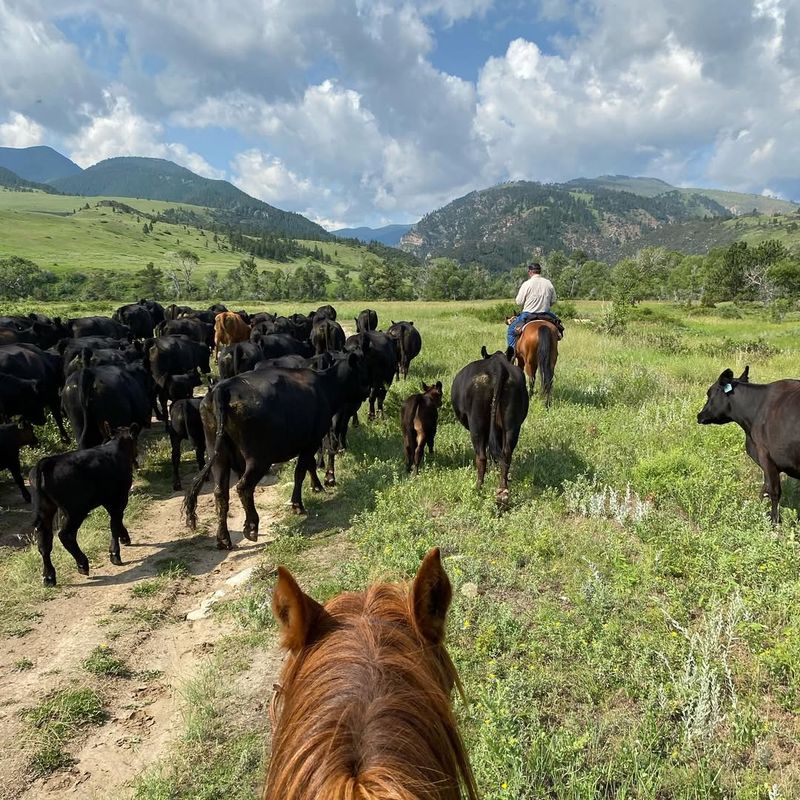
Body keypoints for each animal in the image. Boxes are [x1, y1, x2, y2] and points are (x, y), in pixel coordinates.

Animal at [31, 424, 140, 588]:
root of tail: (47, 462)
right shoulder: (119, 497)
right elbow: (114, 523)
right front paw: (115, 554)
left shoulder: (108, 499)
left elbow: (116, 520)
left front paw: (125, 538)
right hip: (75, 511)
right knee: (65, 535)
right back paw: (82, 564)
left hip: (45, 510)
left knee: (44, 541)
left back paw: (49, 577)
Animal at [186, 352, 370, 552]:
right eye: (362, 370)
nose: (369, 389)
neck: (325, 385)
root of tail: (223, 388)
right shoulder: (311, 442)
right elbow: (301, 472)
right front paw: (298, 504)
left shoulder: (308, 442)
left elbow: (309, 466)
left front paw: (317, 486)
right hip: (259, 459)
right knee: (243, 487)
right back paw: (251, 527)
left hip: (218, 455)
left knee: (220, 493)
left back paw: (223, 539)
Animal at [454, 346, 528, 504]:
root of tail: (497, 366)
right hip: (512, 425)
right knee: (506, 454)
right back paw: (503, 492)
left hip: (477, 425)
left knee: (481, 457)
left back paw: (478, 488)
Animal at [696, 364, 800, 524]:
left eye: (709, 393)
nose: (699, 415)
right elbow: (765, 489)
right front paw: (757, 510)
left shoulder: (765, 455)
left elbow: (773, 491)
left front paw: (774, 522)